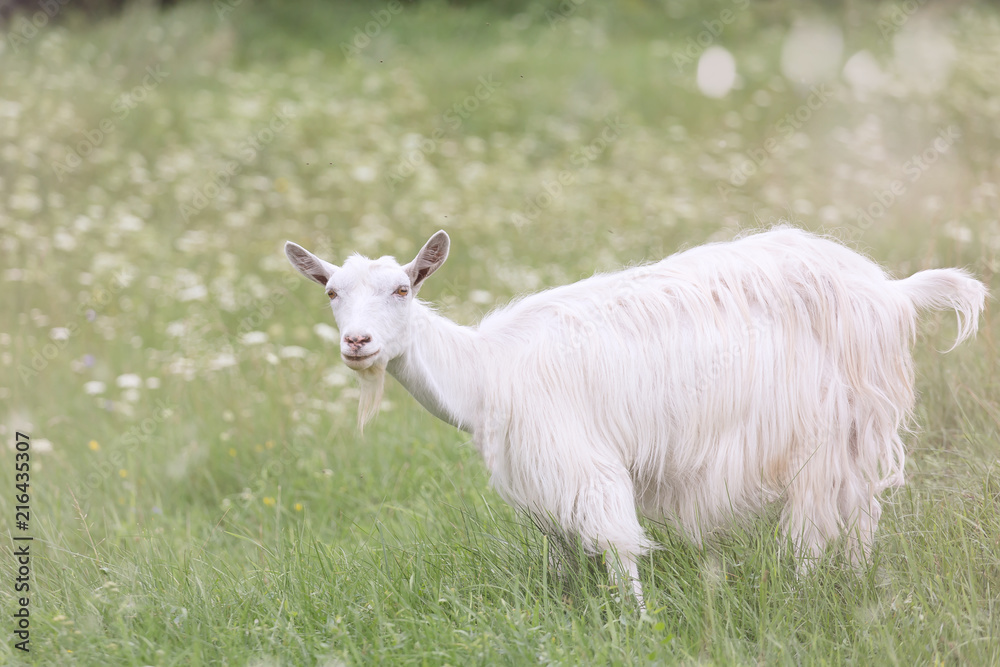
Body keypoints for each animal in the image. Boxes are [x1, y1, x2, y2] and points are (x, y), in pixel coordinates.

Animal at [286, 227, 988, 608]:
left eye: (403, 289)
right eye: (331, 292)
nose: (357, 343)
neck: (486, 371)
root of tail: (893, 291)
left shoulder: (583, 460)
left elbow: (618, 545)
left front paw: (636, 624)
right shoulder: (542, 476)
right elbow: (561, 553)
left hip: (832, 428)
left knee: (820, 523)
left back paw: (804, 592)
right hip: (854, 429)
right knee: (860, 515)